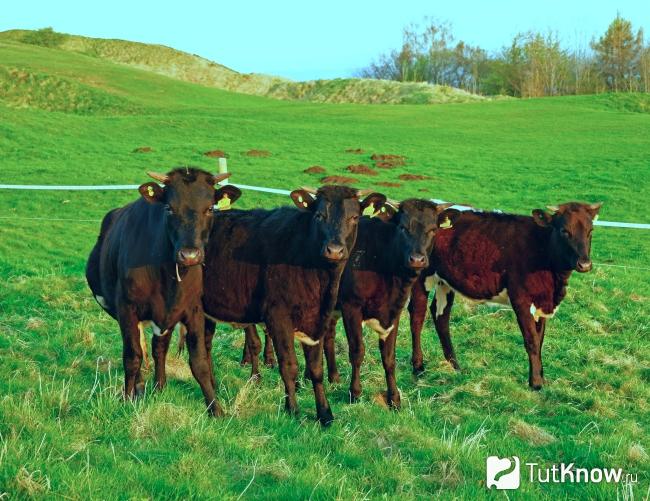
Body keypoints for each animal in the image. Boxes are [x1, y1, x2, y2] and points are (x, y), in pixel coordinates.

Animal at [85, 167, 240, 416]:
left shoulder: (192, 309)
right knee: (140, 347)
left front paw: (215, 409)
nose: (190, 255)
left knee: (159, 348)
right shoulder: (127, 308)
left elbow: (199, 362)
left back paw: (159, 387)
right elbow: (132, 356)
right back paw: (139, 387)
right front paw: (127, 398)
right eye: (169, 208)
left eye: (209, 208)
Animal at [197, 185, 386, 426]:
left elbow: (316, 368)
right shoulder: (278, 316)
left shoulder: (317, 319)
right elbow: (289, 365)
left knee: (206, 346)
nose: (334, 250)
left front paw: (325, 414)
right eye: (319, 215)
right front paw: (293, 410)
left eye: (354, 217)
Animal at [319, 200, 460, 409]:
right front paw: (355, 393)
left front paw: (394, 398)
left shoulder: (394, 311)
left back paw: (334, 377)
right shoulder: (351, 307)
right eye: (402, 227)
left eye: (433, 229)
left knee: (328, 335)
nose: (417, 259)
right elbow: (357, 351)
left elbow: (389, 356)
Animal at [408, 201, 602, 389]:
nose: (585, 264)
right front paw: (536, 383)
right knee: (417, 316)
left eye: (590, 231)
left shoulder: (542, 300)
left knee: (440, 315)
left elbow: (540, 339)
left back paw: (455, 366)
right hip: (421, 276)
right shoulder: (521, 299)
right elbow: (531, 340)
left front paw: (541, 378)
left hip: (445, 281)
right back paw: (418, 368)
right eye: (564, 231)